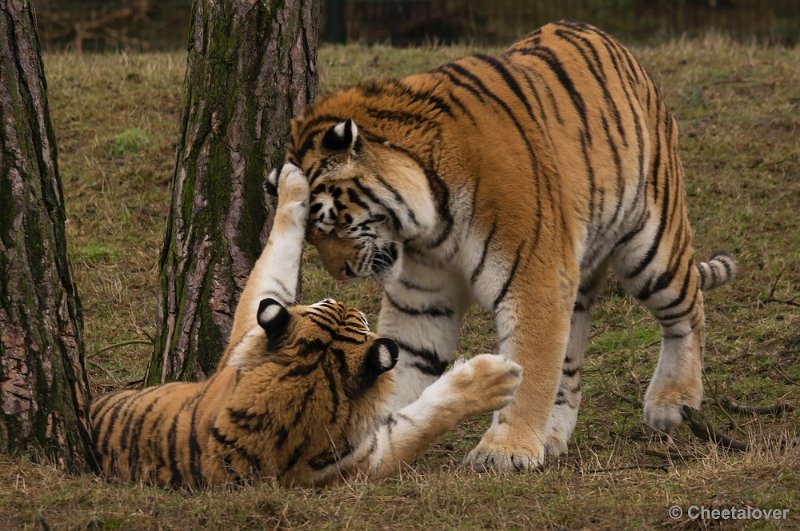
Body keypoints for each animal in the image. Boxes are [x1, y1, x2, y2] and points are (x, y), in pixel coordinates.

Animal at [288, 19, 736, 474]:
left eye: (330, 221)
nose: (339, 272)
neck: (429, 222)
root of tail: (611, 41)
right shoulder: (423, 297)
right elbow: (406, 360)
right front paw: (374, 437)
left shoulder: (534, 279)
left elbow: (529, 367)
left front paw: (505, 451)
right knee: (569, 365)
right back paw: (553, 436)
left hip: (651, 245)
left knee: (688, 310)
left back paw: (673, 401)